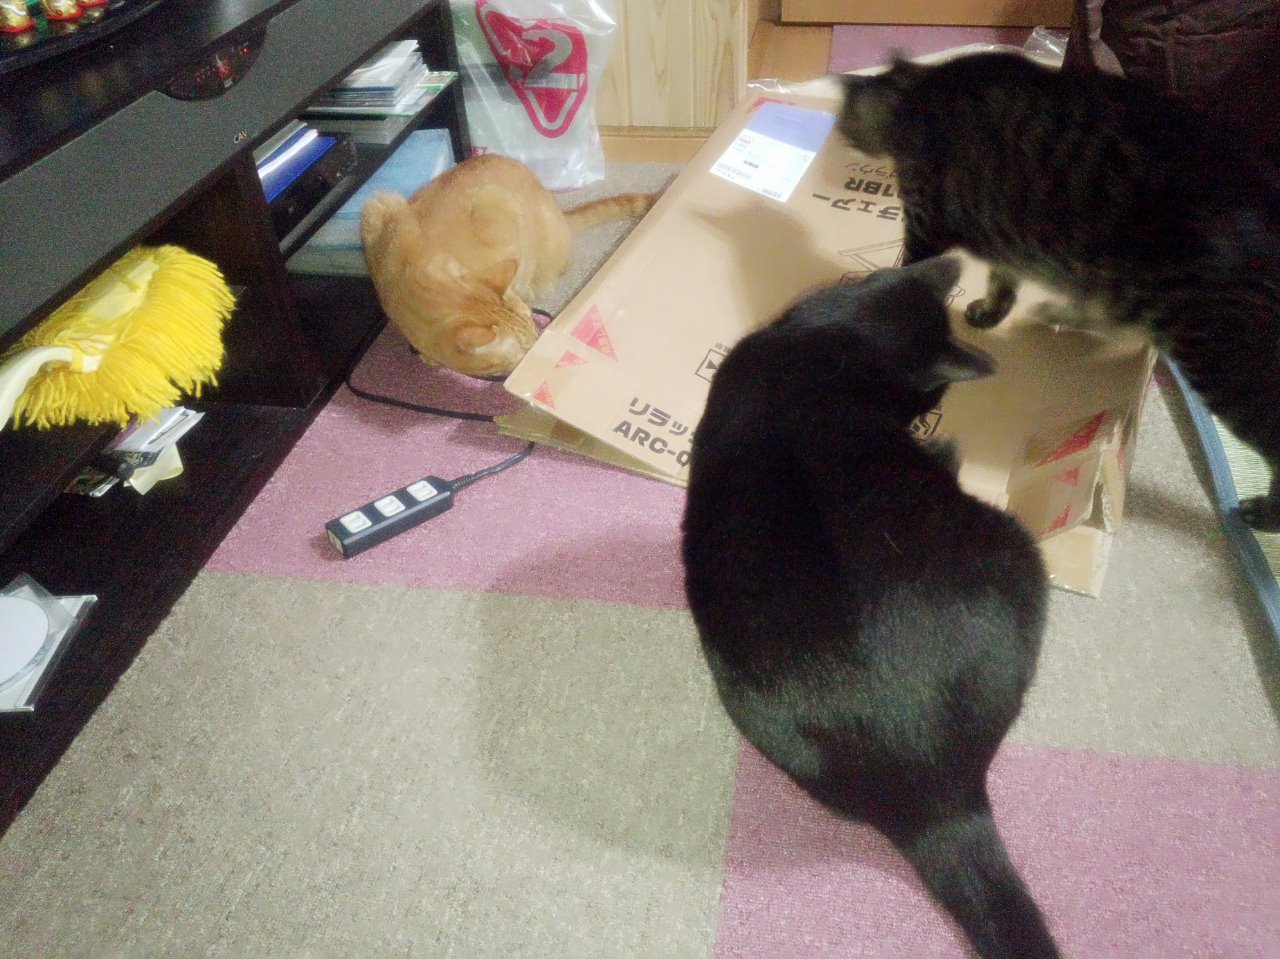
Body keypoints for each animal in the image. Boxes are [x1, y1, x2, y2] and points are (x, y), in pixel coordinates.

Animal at [835, 48, 1280, 530]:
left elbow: (911, 277)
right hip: (1130, 294)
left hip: (1219, 359)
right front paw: (991, 312)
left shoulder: (924, 226)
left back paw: (1263, 513)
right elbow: (1002, 284)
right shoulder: (1002, 242)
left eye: (844, 120)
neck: (915, 96)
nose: (841, 137)